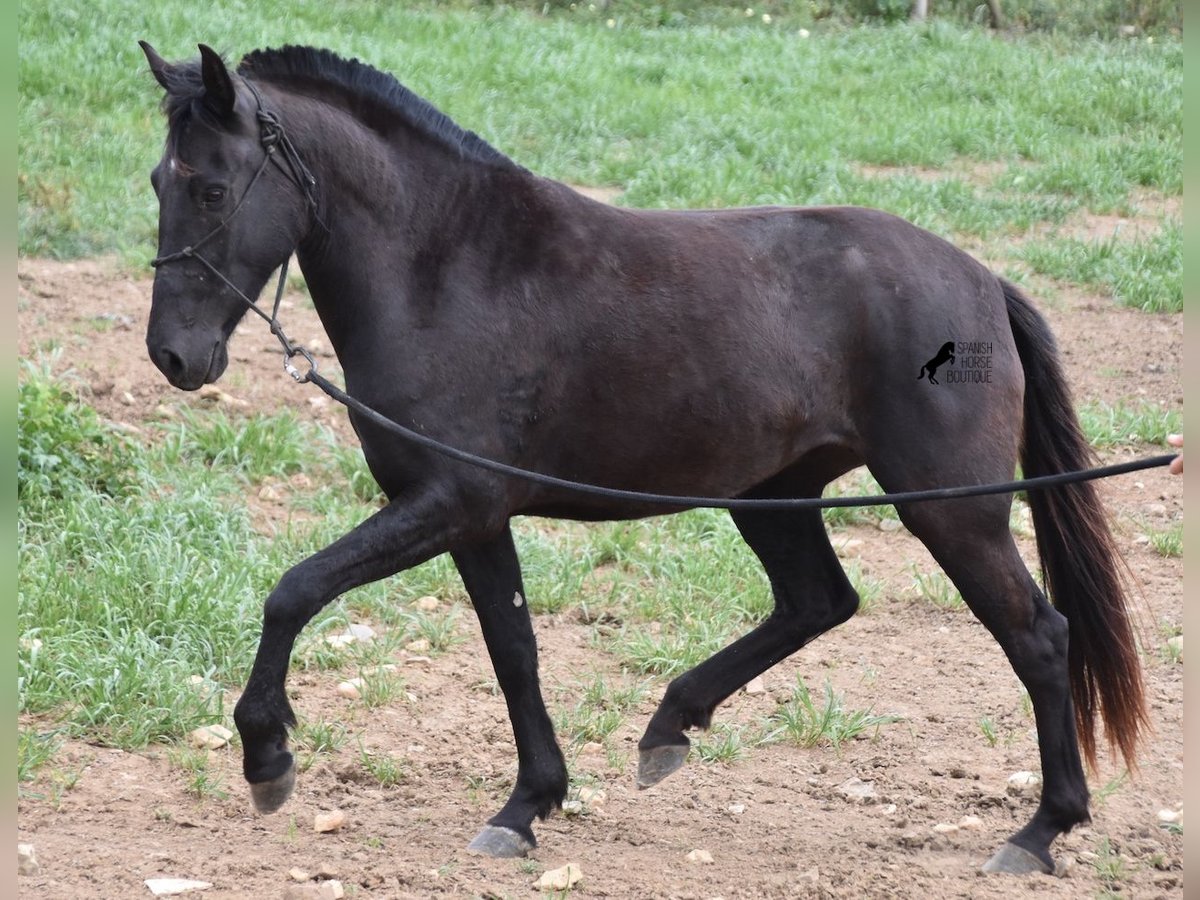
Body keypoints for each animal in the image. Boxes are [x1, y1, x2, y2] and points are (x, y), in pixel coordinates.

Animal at [138, 44, 1142, 883]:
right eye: (157, 179)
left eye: (215, 190)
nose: (174, 357)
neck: (446, 269)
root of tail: (982, 282)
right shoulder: (473, 518)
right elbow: (514, 652)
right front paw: (528, 805)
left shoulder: (448, 501)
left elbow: (294, 591)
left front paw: (268, 757)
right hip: (773, 497)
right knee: (817, 602)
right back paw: (669, 727)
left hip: (951, 508)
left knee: (1038, 637)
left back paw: (1040, 832)